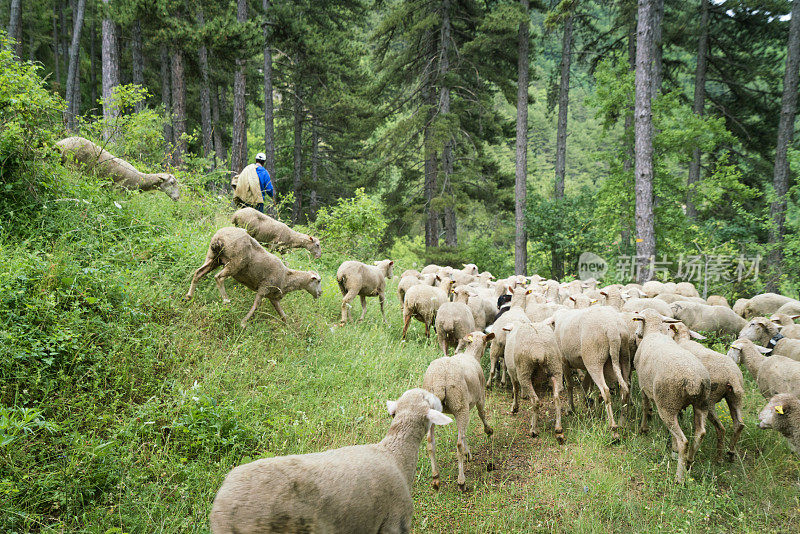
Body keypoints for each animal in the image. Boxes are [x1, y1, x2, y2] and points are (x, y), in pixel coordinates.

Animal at [185, 227, 322, 326]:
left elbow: (283, 315)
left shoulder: (273, 298)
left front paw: (287, 328)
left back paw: (188, 296)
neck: (287, 277)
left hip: (214, 258)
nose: (320, 293)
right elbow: (256, 306)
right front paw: (243, 323)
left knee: (198, 273)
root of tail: (219, 236)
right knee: (218, 278)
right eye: (319, 281)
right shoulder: (263, 288)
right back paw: (226, 302)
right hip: (235, 263)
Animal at [556, 306, 632, 440]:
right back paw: (622, 422)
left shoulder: (564, 361)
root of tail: (612, 330)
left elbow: (570, 386)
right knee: (625, 388)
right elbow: (586, 383)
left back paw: (613, 428)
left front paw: (571, 408)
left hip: (594, 358)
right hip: (624, 356)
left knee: (605, 390)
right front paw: (586, 402)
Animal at [636, 310, 708, 486]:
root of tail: (694, 381)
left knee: (684, 441)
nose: (636, 334)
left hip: (666, 405)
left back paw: (679, 478)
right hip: (701, 403)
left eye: (639, 320)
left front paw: (643, 428)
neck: (653, 332)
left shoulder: (643, 387)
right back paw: (689, 461)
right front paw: (674, 449)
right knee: (700, 433)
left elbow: (645, 407)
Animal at [664, 324, 748, 462]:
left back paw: (718, 458)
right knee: (739, 424)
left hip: (710, 400)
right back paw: (730, 453)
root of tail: (732, 376)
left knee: (720, 428)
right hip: (736, 397)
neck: (682, 340)